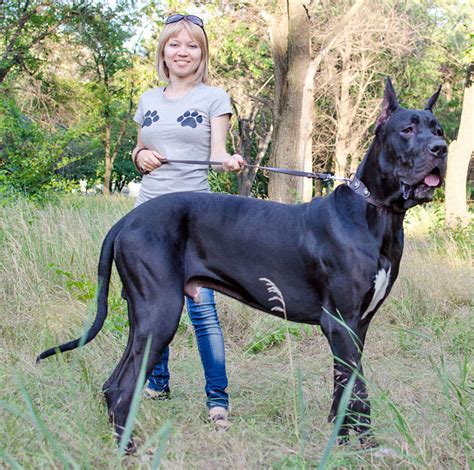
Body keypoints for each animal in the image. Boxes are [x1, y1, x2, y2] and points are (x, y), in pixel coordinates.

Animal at [39, 80, 446, 452]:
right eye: (407, 129)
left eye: (438, 129)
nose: (441, 149)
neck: (376, 214)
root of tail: (125, 221)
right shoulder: (340, 322)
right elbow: (357, 389)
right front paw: (364, 445)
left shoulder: (358, 325)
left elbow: (345, 384)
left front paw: (344, 438)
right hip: (160, 311)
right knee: (121, 385)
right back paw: (128, 449)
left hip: (143, 315)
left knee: (114, 382)